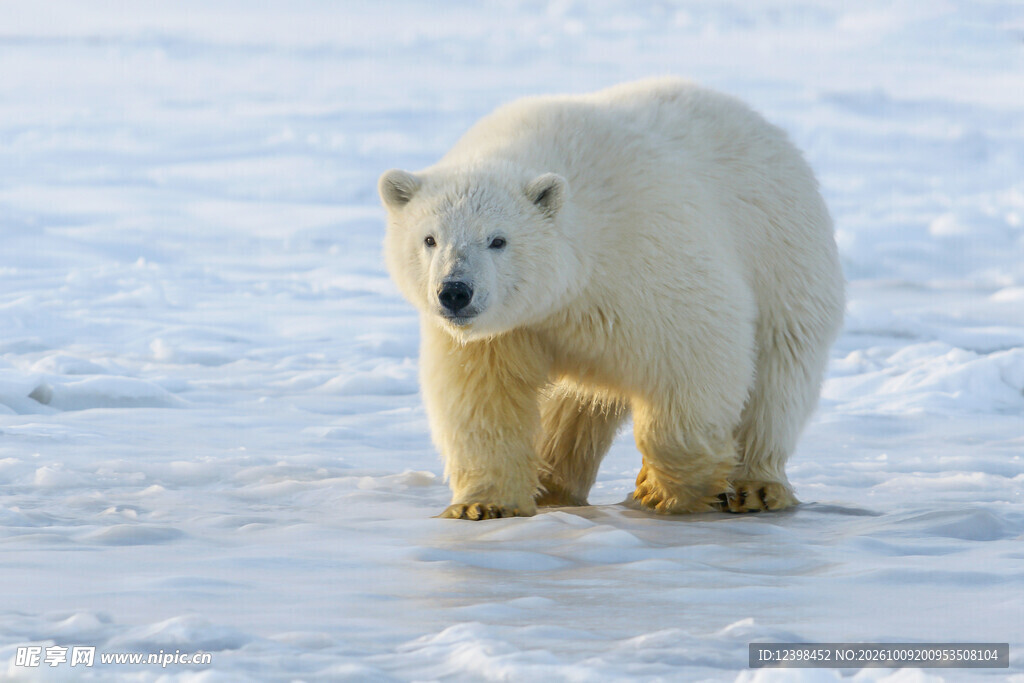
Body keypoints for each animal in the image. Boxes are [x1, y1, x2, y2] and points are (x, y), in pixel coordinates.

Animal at [378, 78, 844, 520]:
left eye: (498, 240)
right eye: (429, 239)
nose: (455, 292)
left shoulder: (648, 257)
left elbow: (698, 352)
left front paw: (661, 489)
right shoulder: (506, 330)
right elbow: (483, 398)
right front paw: (482, 505)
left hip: (783, 258)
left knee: (777, 377)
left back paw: (756, 487)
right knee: (573, 407)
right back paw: (553, 483)